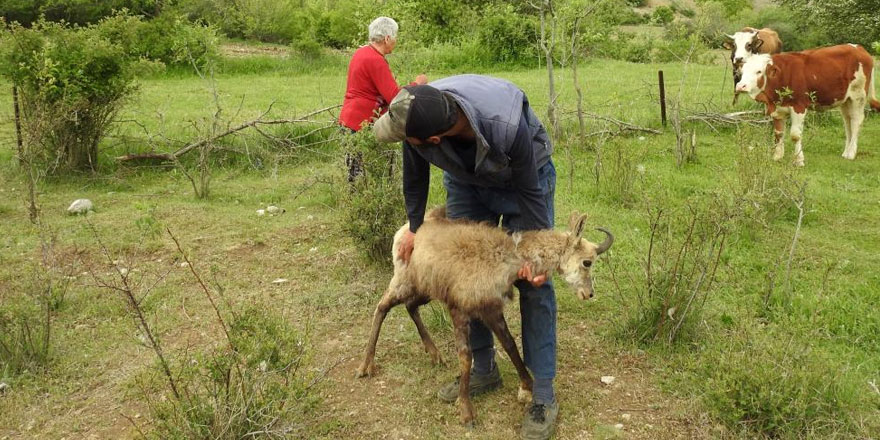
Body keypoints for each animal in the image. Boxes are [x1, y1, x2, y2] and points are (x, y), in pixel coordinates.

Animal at [736, 44, 880, 165]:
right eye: (743, 71)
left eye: (759, 71)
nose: (740, 86)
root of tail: (859, 48)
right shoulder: (777, 109)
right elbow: (778, 133)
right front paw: (777, 156)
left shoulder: (799, 106)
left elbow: (795, 135)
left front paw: (799, 160)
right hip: (845, 100)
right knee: (847, 122)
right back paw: (846, 152)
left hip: (858, 96)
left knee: (856, 121)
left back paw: (851, 153)